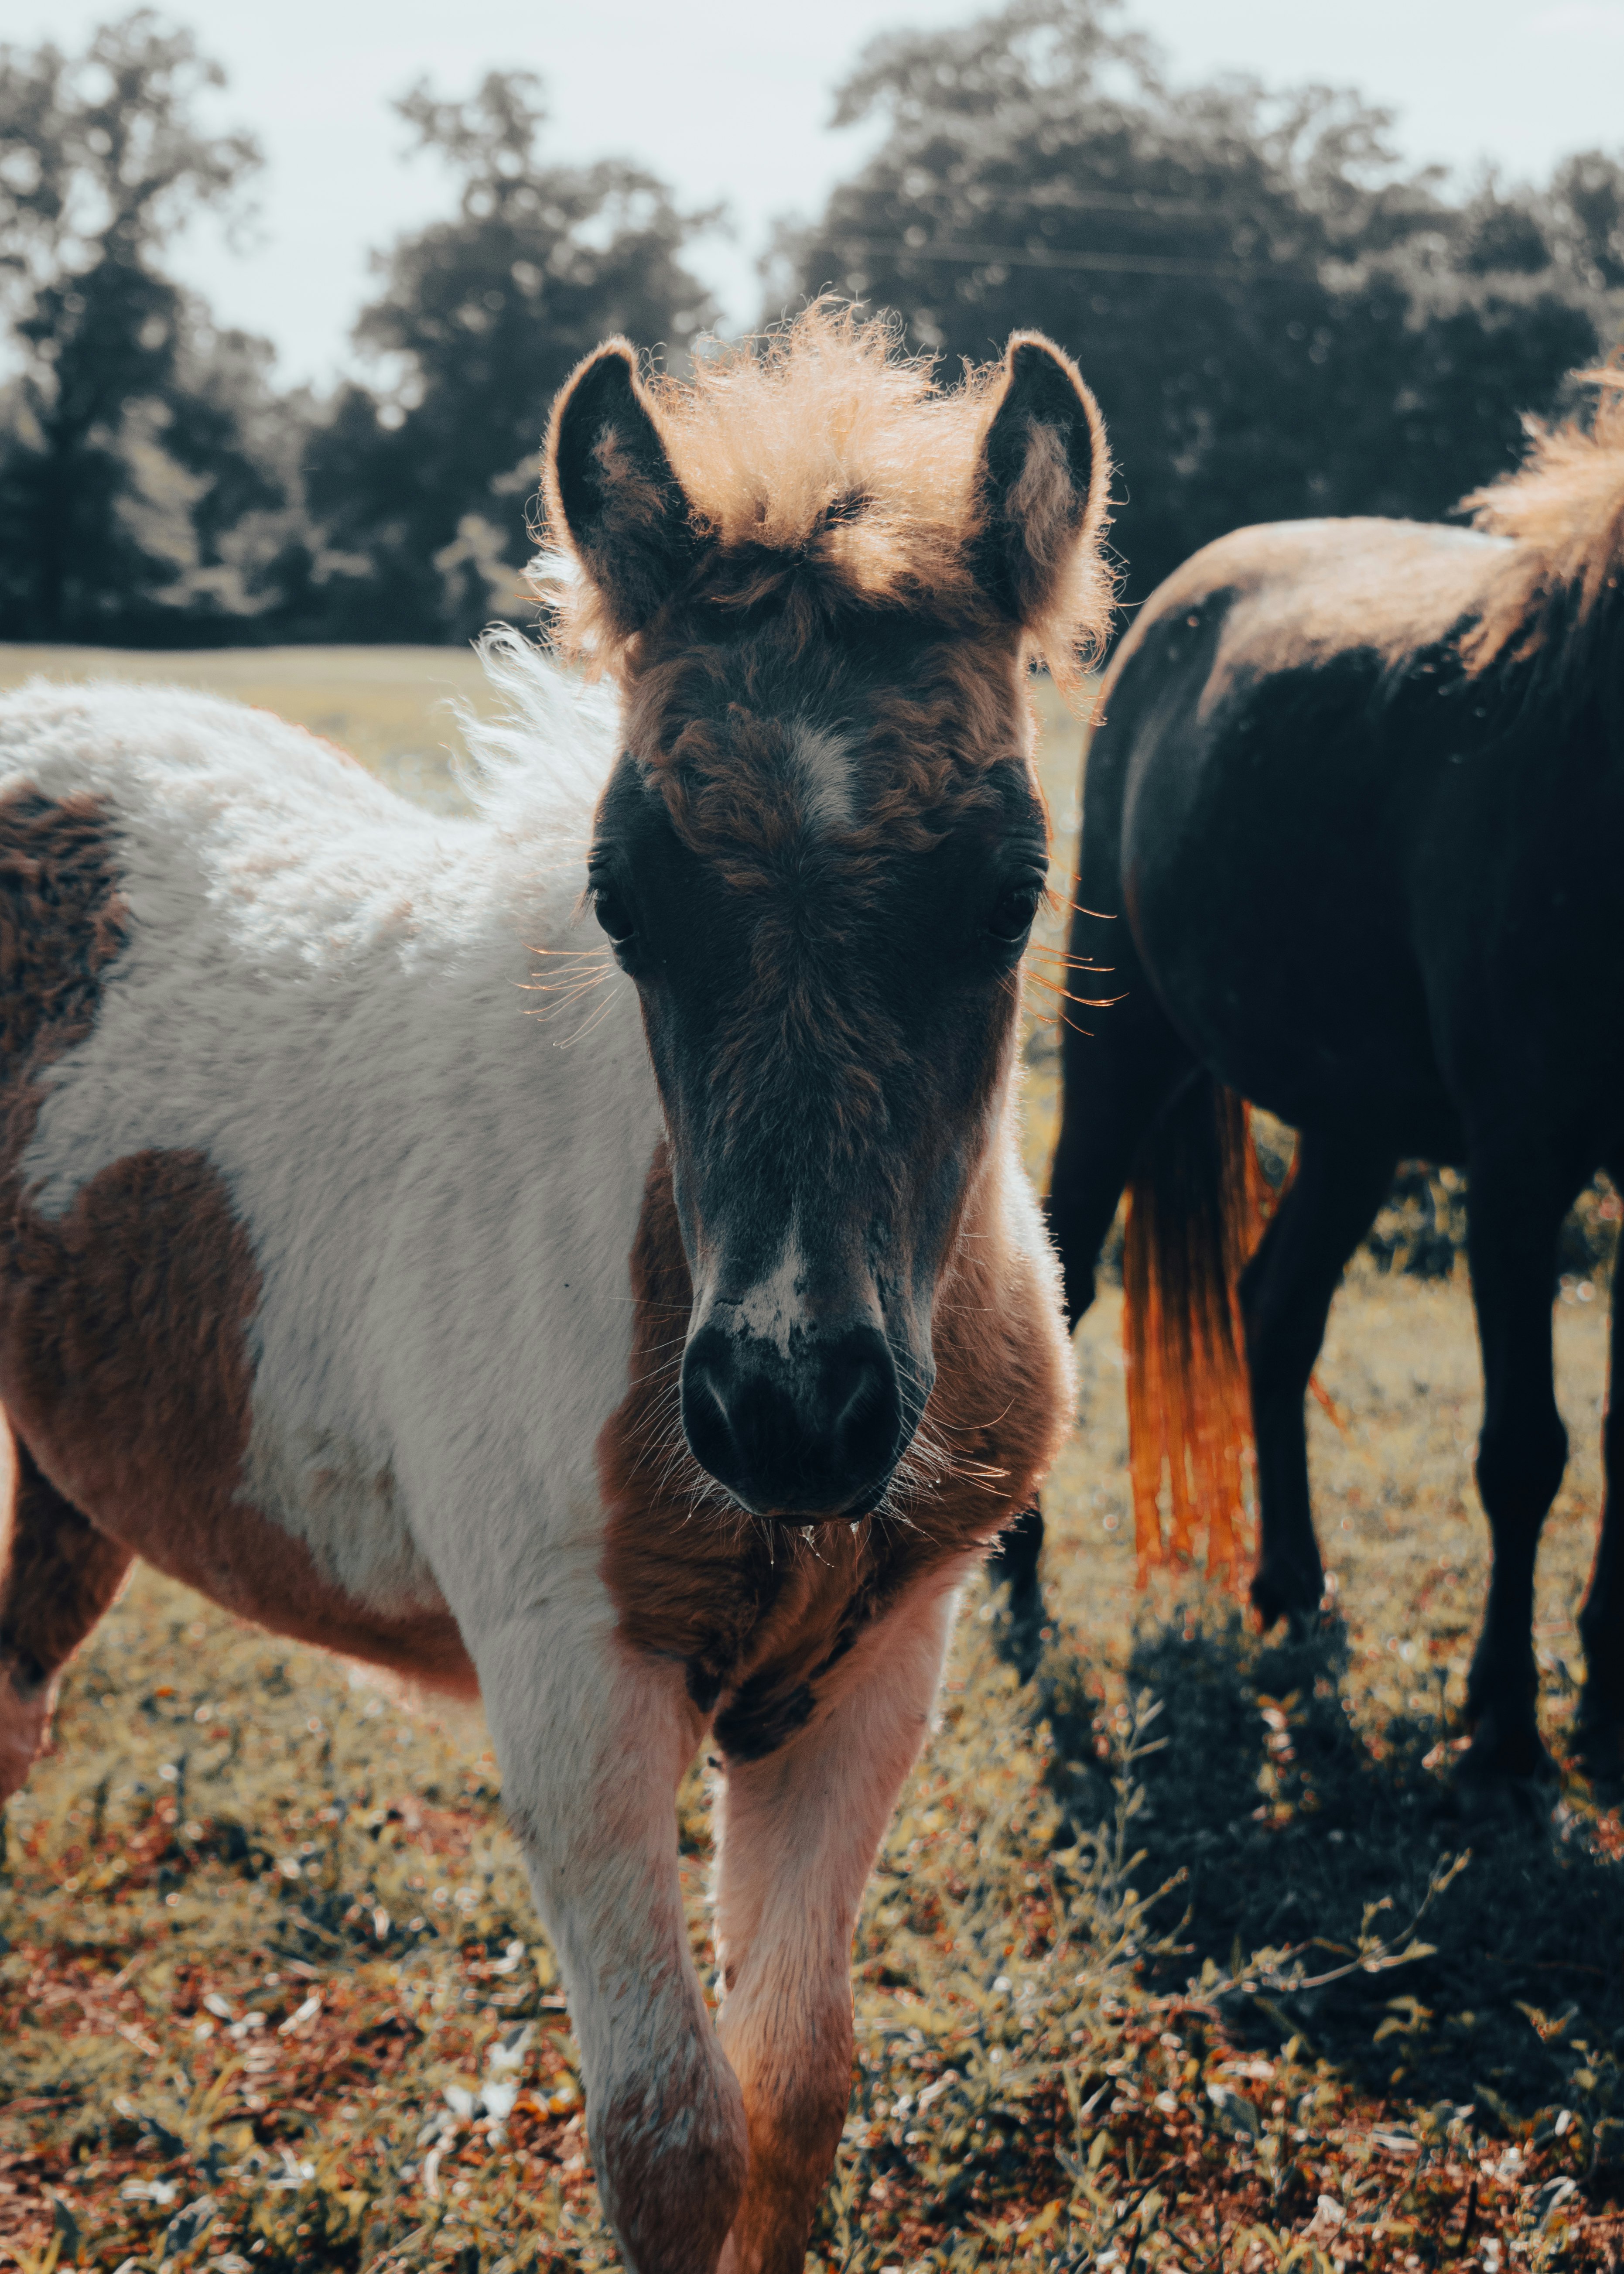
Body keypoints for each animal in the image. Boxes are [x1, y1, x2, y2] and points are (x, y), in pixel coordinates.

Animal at [0, 311, 1101, 2265]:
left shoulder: (873, 1675)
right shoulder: (571, 1674)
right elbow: (668, 2133)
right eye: (623, 892)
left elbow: (794, 2088)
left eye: (1010, 890)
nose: (790, 1407)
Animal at [1001, 368, 1619, 1774]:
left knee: (1273, 1308)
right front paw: (1502, 1717)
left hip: (1353, 1122)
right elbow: (1524, 1447)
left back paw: (1288, 1585)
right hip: (1127, 1054)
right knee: (1069, 1280)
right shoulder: (1518, 1165)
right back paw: (1015, 1583)